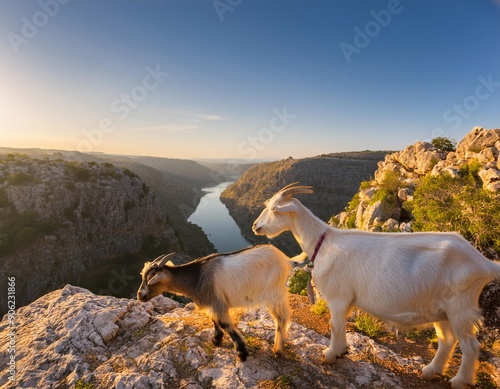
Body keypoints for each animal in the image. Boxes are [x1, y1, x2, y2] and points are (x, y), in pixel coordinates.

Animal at [138, 246, 292, 360]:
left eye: (151, 280)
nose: (140, 295)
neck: (198, 277)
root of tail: (284, 259)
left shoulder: (218, 302)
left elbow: (224, 323)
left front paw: (241, 353)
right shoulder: (214, 303)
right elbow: (214, 320)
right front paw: (216, 340)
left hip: (274, 293)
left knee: (281, 317)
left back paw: (278, 349)